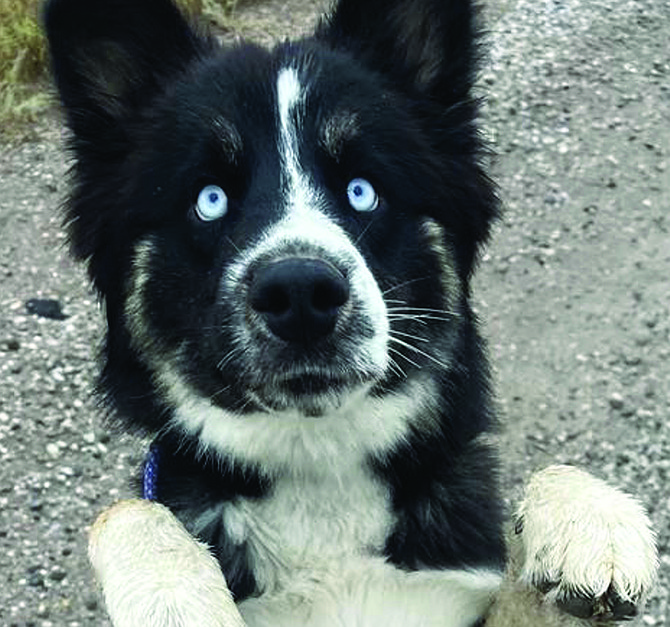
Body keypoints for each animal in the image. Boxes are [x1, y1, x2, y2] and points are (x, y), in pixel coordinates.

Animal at [44, 1, 660, 627]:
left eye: (363, 190)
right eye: (209, 199)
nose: (299, 292)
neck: (319, 473)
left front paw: (588, 521)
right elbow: (124, 509)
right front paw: (171, 591)